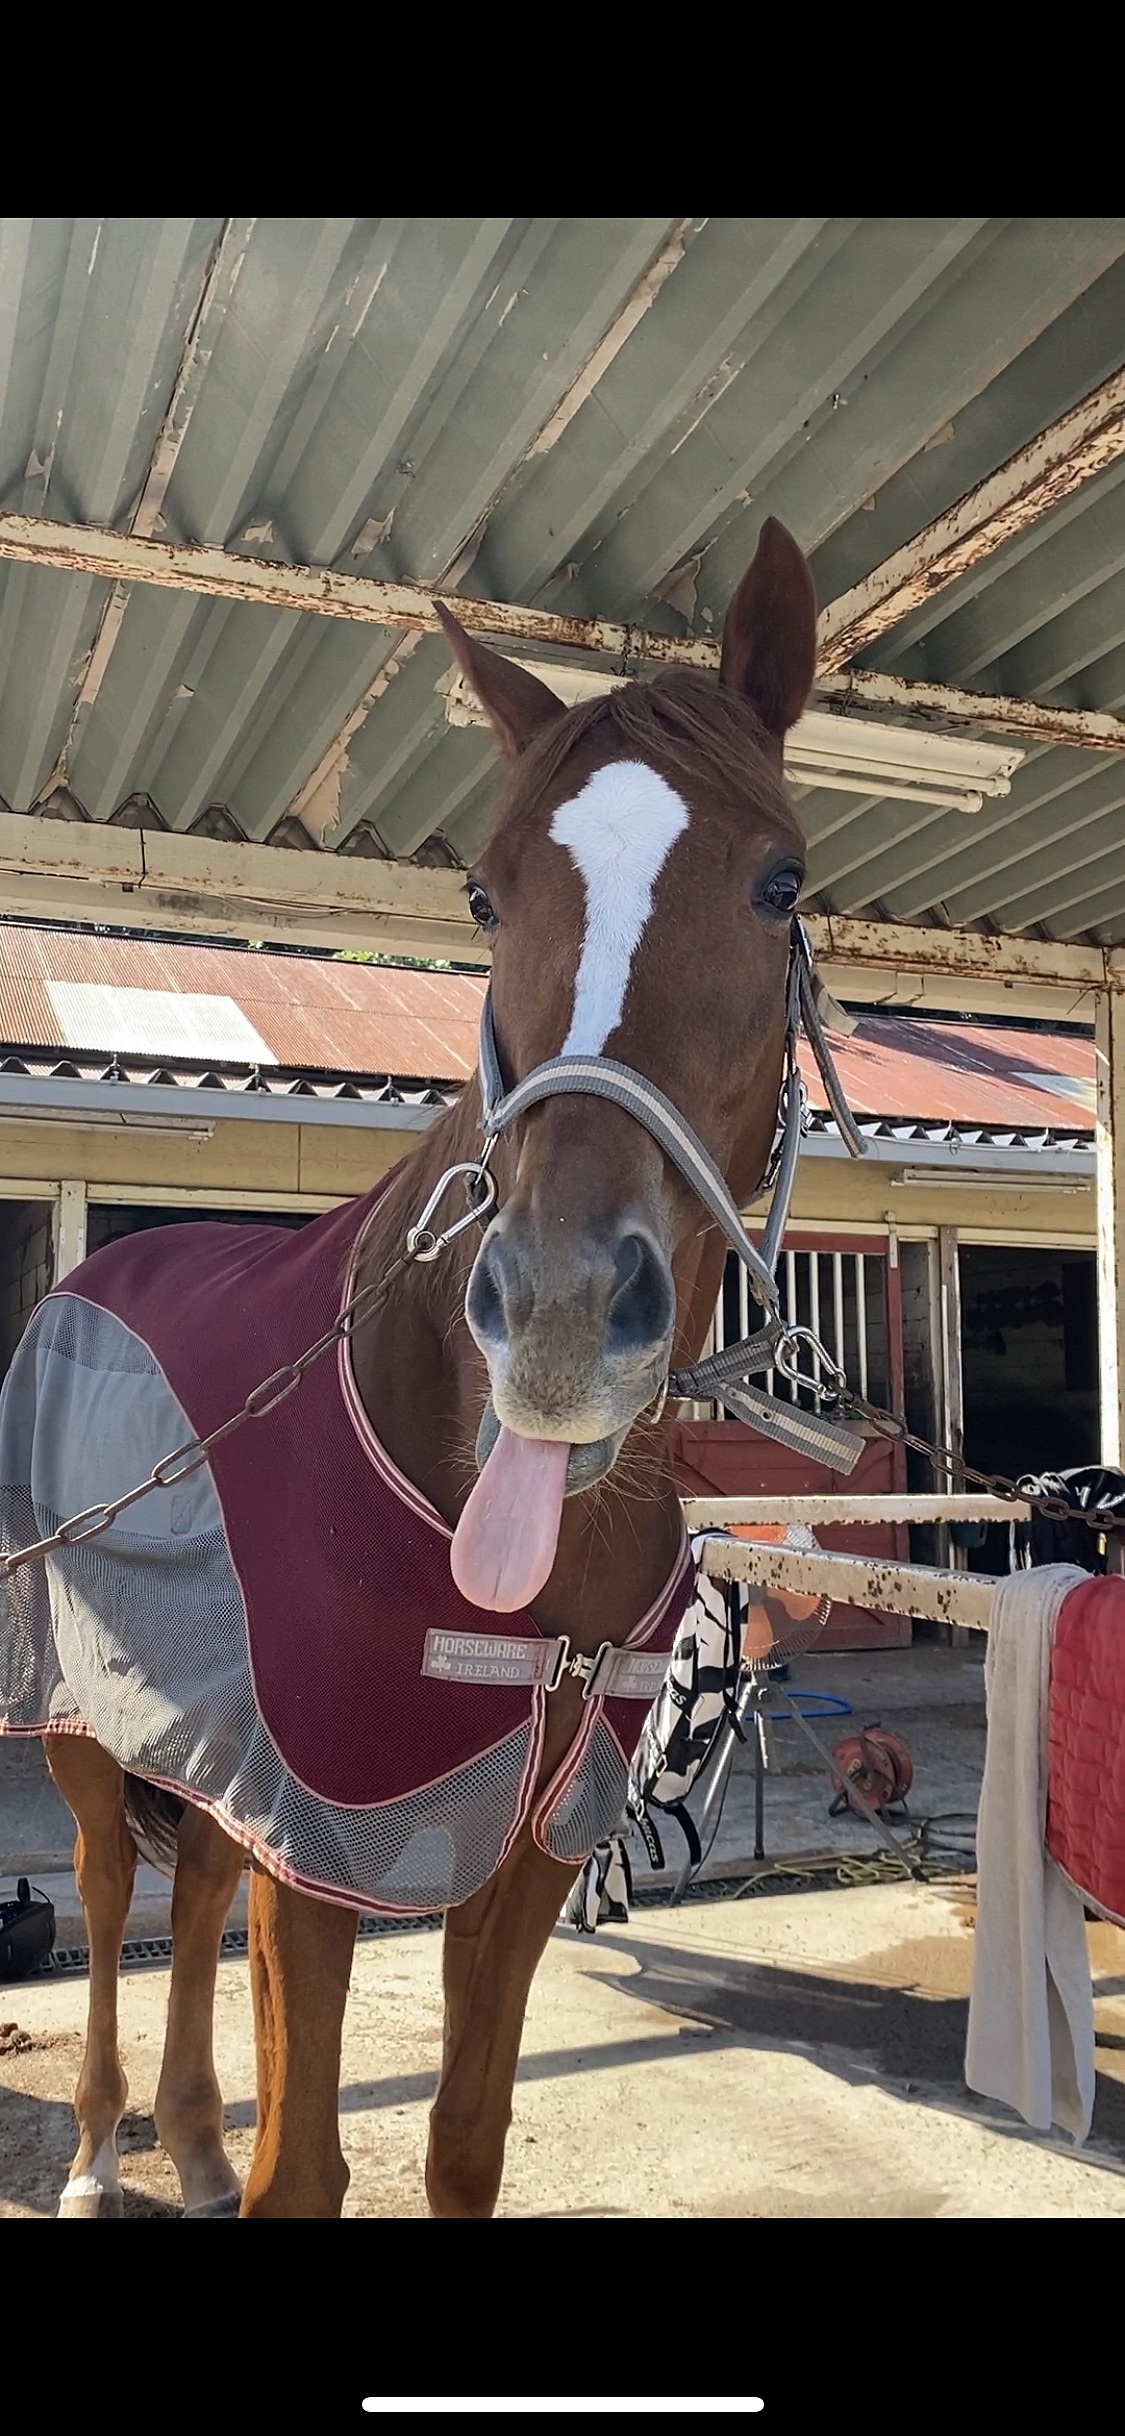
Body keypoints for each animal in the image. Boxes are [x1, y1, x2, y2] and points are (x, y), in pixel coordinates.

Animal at [0, 518, 813, 2231]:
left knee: (194, 1889)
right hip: (81, 1728)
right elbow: (306, 2168)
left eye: (780, 882)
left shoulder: (525, 1847)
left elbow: (461, 2146)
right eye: (487, 897)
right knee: (108, 1903)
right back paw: (102, 2155)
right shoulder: (330, 1833)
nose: (559, 1318)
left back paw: (187, 2142)